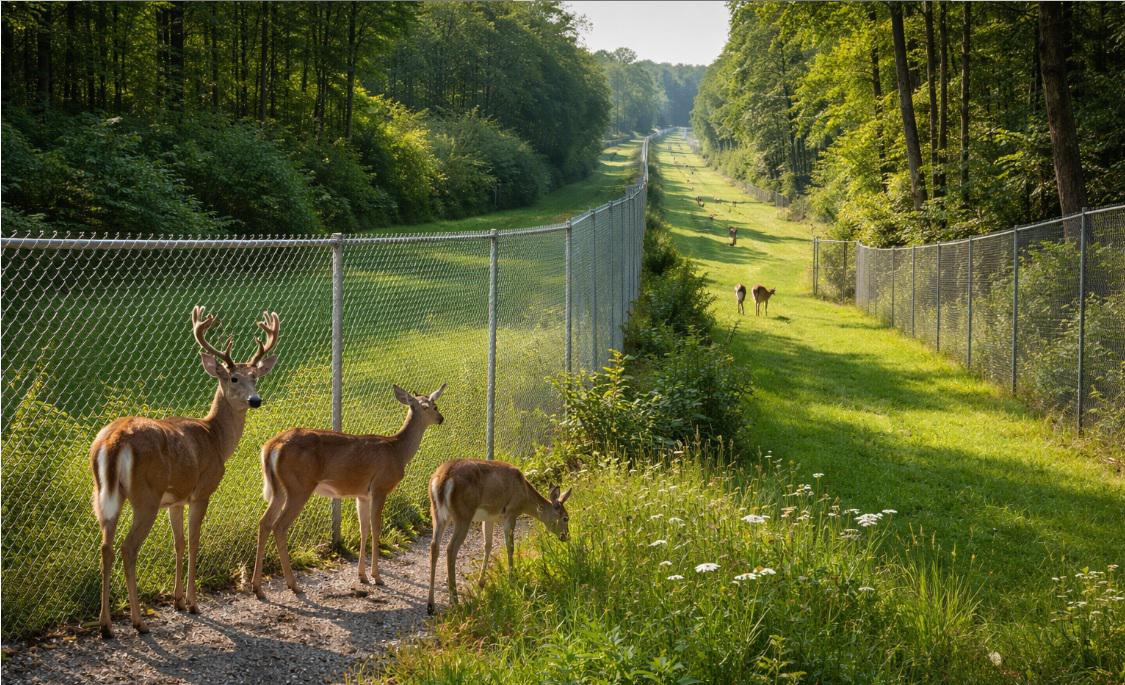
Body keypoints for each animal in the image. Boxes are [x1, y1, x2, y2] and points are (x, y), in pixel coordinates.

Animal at [90, 306, 280, 638]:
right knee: (128, 548)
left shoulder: (175, 500)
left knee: (106, 547)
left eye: (255, 377)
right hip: (145, 496)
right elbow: (193, 542)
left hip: (105, 494)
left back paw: (106, 625)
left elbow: (178, 544)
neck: (215, 438)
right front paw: (192, 603)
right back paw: (139, 622)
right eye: (233, 377)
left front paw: (177, 600)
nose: (255, 400)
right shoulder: (201, 491)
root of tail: (114, 440)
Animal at [251, 384, 446, 598]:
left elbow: (364, 528)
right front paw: (377, 577)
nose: (441, 418)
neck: (398, 451)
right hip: (299, 487)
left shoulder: (362, 494)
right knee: (279, 526)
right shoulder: (380, 487)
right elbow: (376, 528)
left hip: (279, 490)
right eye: (432, 406)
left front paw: (362, 576)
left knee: (264, 522)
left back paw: (257, 587)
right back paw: (293, 584)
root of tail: (270, 446)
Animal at [426, 459, 571, 615]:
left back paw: (431, 605)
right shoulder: (511, 512)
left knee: (434, 547)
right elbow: (510, 546)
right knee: (450, 548)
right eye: (565, 518)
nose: (566, 537)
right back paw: (455, 601)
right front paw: (512, 579)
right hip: (463, 513)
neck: (525, 496)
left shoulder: (488, 517)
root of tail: (442, 478)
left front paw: (481, 582)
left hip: (437, 512)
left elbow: (488, 545)